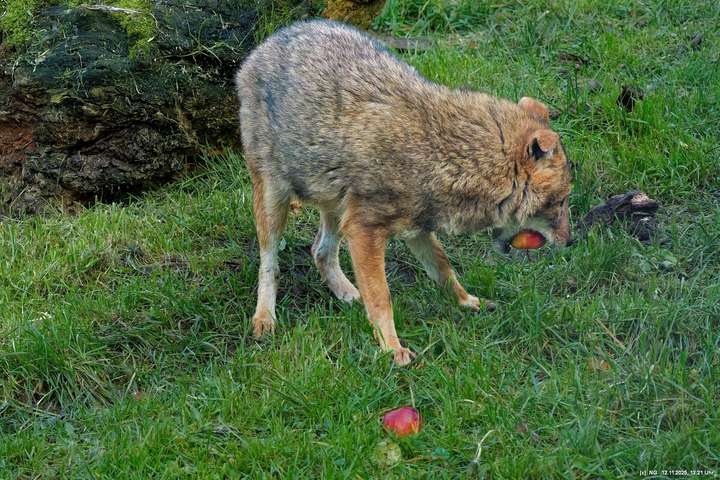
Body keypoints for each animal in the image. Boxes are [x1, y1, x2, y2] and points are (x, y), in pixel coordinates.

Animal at [235, 20, 572, 365]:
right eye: (560, 203)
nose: (571, 241)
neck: (448, 155)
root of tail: (269, 41)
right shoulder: (364, 231)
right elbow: (382, 298)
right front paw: (391, 347)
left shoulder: (417, 229)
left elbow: (444, 269)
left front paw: (468, 302)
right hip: (275, 202)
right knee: (270, 263)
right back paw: (265, 318)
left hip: (336, 208)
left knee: (320, 251)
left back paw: (347, 293)